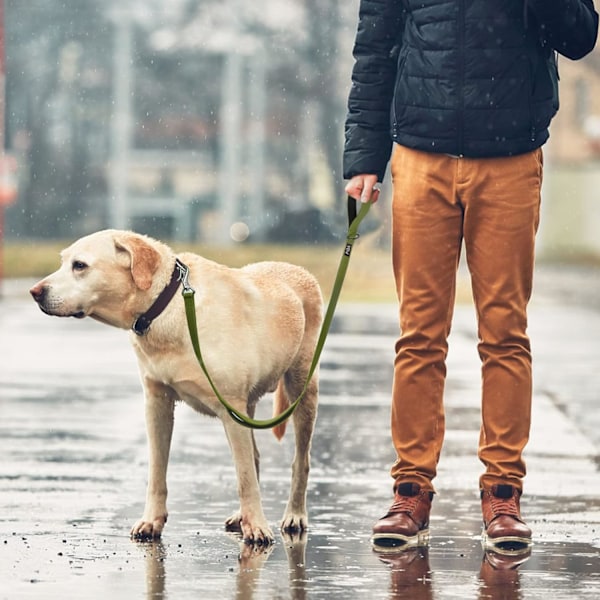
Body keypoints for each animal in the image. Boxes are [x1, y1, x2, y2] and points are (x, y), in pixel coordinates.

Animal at [30, 229, 322, 544]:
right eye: (63, 262)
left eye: (80, 266)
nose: (35, 292)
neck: (167, 306)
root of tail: (298, 269)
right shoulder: (157, 403)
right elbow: (157, 472)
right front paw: (151, 521)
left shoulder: (231, 406)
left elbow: (245, 478)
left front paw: (256, 526)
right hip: (249, 406)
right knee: (254, 457)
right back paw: (241, 515)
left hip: (301, 390)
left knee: (299, 462)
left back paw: (294, 515)